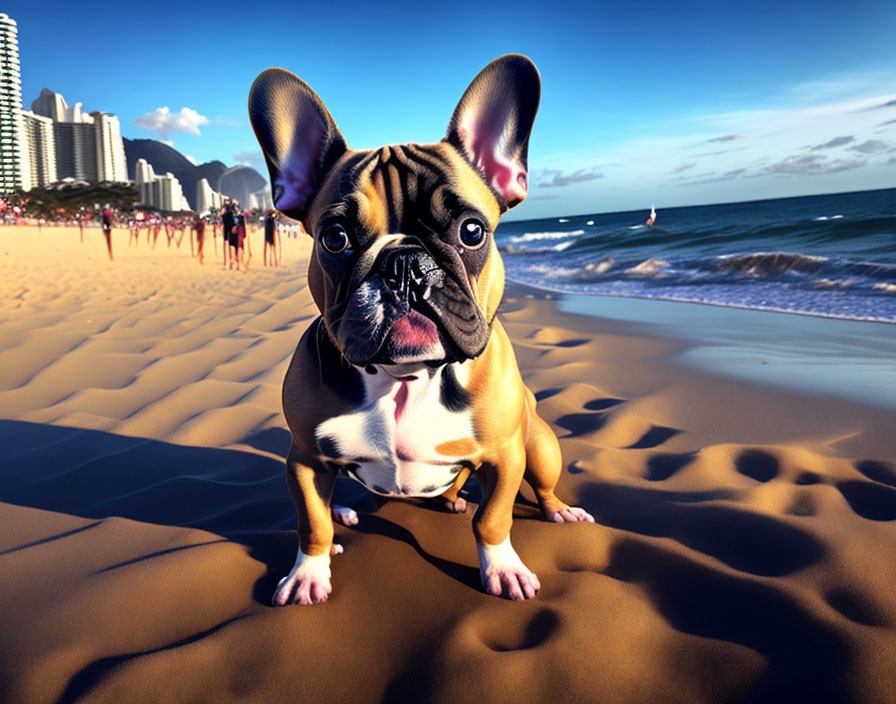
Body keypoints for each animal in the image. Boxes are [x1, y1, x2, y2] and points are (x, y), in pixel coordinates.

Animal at [247, 53, 596, 604]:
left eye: (472, 230)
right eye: (334, 238)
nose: (405, 263)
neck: (406, 377)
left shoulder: (505, 458)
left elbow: (493, 519)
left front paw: (502, 569)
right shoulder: (303, 459)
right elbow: (312, 523)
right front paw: (308, 573)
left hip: (539, 446)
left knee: (538, 486)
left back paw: (550, 509)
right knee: (333, 504)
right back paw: (348, 511)